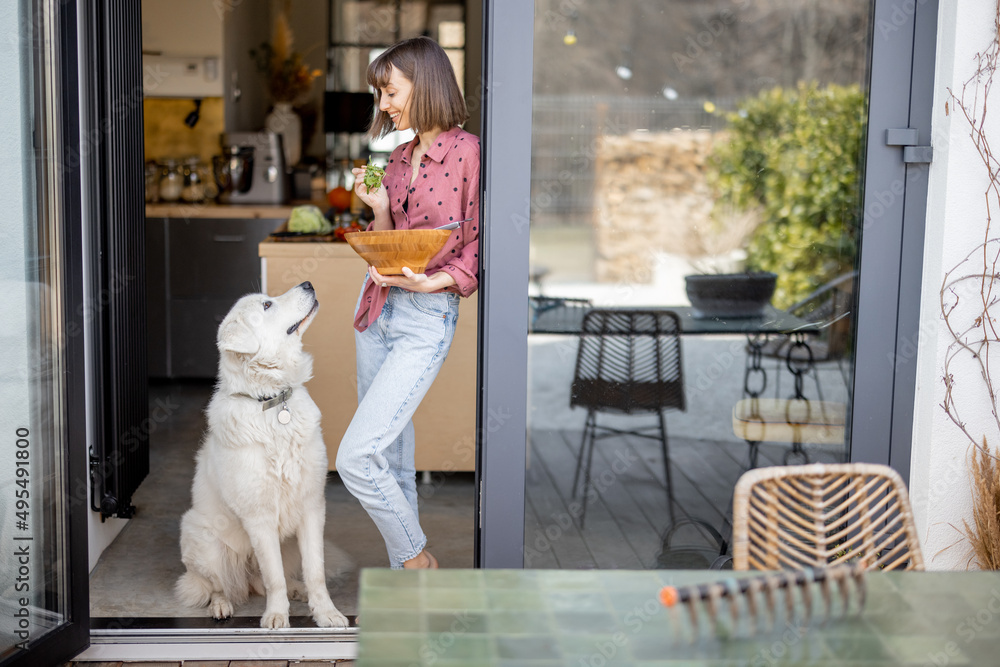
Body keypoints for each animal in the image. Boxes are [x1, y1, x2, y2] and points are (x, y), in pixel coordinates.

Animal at [172, 280, 344, 628]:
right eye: (266, 305)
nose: (308, 284)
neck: (272, 402)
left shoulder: (311, 507)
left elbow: (315, 572)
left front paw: (326, 613)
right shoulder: (259, 516)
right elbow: (272, 576)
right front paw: (276, 617)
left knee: (273, 578)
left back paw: (297, 589)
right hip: (203, 539)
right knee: (222, 585)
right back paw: (221, 606)